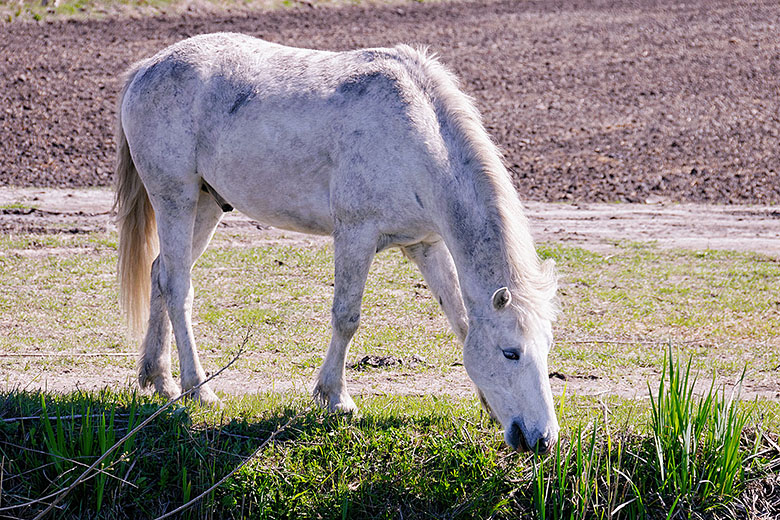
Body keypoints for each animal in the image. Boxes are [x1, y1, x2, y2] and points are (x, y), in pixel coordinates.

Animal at [112, 34, 556, 452]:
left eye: (546, 349)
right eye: (511, 352)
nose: (542, 440)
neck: (416, 138)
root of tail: (147, 68)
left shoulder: (426, 245)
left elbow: (461, 321)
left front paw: (486, 403)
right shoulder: (356, 235)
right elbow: (346, 317)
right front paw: (336, 399)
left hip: (206, 205)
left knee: (160, 273)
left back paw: (159, 379)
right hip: (176, 199)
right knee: (178, 288)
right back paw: (198, 389)